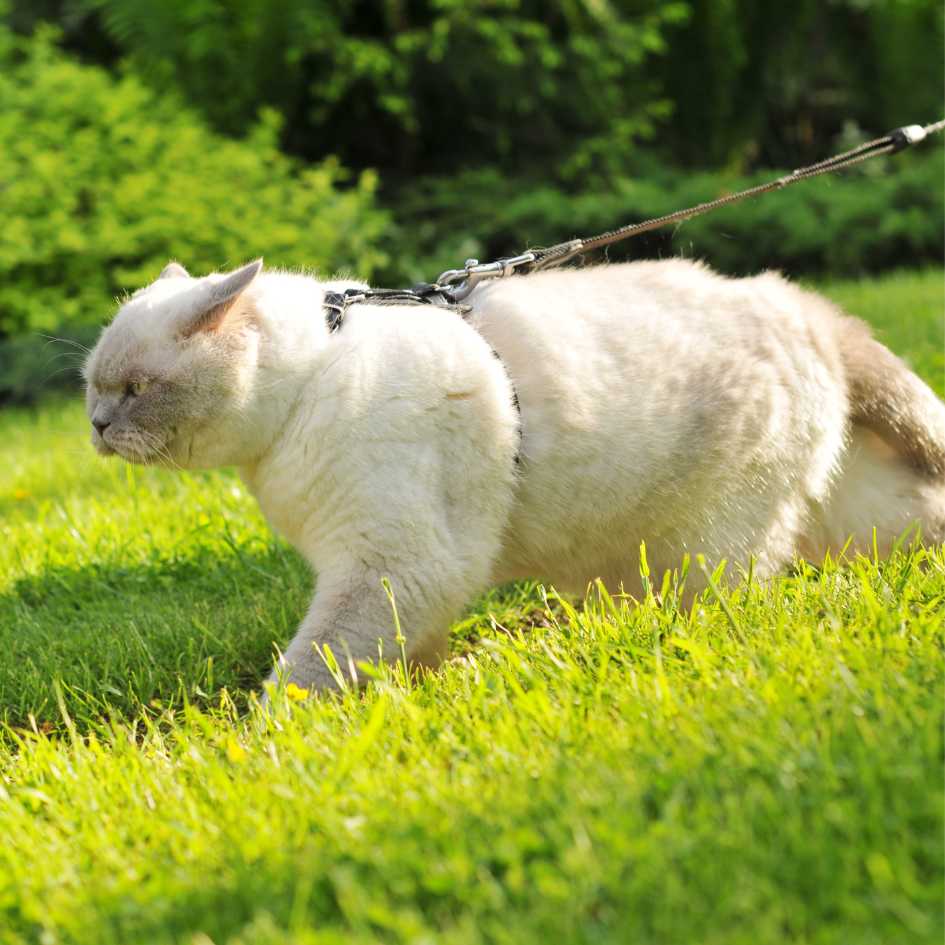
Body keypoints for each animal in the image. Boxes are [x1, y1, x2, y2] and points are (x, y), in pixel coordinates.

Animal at [85, 258, 940, 692]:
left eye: (134, 388)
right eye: (93, 385)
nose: (95, 425)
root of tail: (803, 305)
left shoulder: (390, 562)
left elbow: (307, 670)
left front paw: (267, 740)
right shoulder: (399, 574)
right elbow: (401, 652)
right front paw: (415, 694)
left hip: (703, 545)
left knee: (722, 603)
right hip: (844, 516)